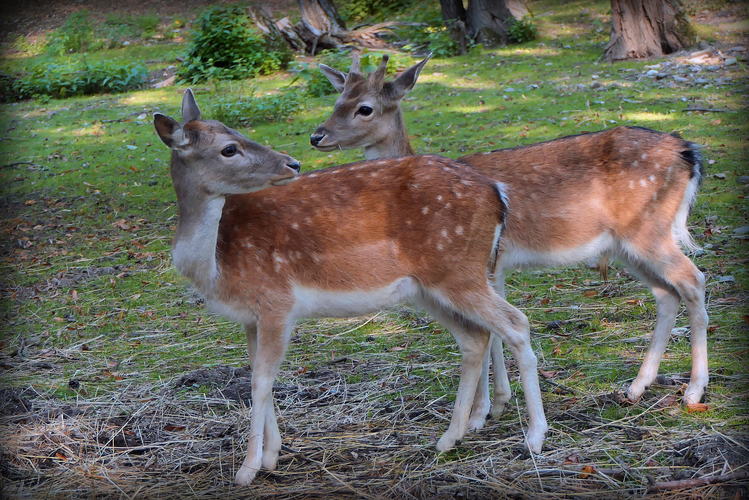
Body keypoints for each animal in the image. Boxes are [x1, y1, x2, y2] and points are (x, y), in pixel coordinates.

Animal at [155, 89, 548, 484]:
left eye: (235, 138)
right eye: (229, 147)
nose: (292, 163)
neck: (216, 266)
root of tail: (498, 193)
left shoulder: (277, 302)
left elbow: (261, 382)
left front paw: (248, 469)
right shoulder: (251, 318)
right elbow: (258, 376)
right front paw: (271, 456)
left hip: (459, 271)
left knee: (516, 323)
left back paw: (534, 437)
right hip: (431, 288)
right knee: (475, 338)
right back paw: (449, 438)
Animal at [312, 53, 712, 430]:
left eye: (365, 108)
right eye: (337, 99)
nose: (317, 136)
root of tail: (689, 151)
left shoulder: (490, 260)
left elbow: (493, 332)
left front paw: (484, 411)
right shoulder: (495, 266)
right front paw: (494, 406)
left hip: (647, 229)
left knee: (693, 280)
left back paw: (693, 392)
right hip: (628, 245)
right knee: (666, 293)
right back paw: (636, 387)